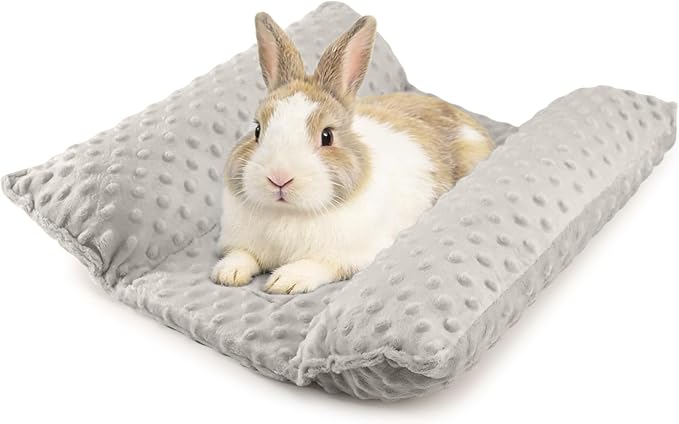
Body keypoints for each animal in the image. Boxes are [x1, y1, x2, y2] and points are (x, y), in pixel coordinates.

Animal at [211, 12, 494, 294]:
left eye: (327, 136)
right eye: (257, 130)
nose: (279, 178)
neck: (289, 214)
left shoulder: (352, 255)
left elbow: (318, 264)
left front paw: (286, 280)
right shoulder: (240, 241)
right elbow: (241, 254)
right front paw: (228, 274)